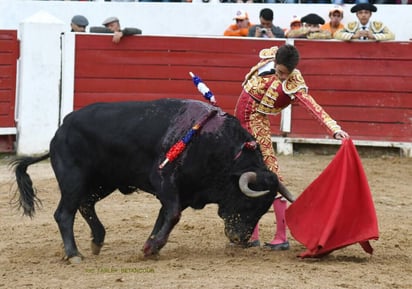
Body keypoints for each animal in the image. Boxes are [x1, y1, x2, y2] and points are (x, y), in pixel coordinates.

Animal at [10, 98, 292, 260]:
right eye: (248, 203)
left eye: (264, 208)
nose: (240, 240)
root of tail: (60, 130)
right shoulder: (165, 181)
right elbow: (173, 214)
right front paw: (152, 246)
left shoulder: (182, 192)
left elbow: (165, 216)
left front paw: (151, 246)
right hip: (73, 179)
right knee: (64, 213)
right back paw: (74, 254)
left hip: (102, 182)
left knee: (86, 204)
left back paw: (97, 240)